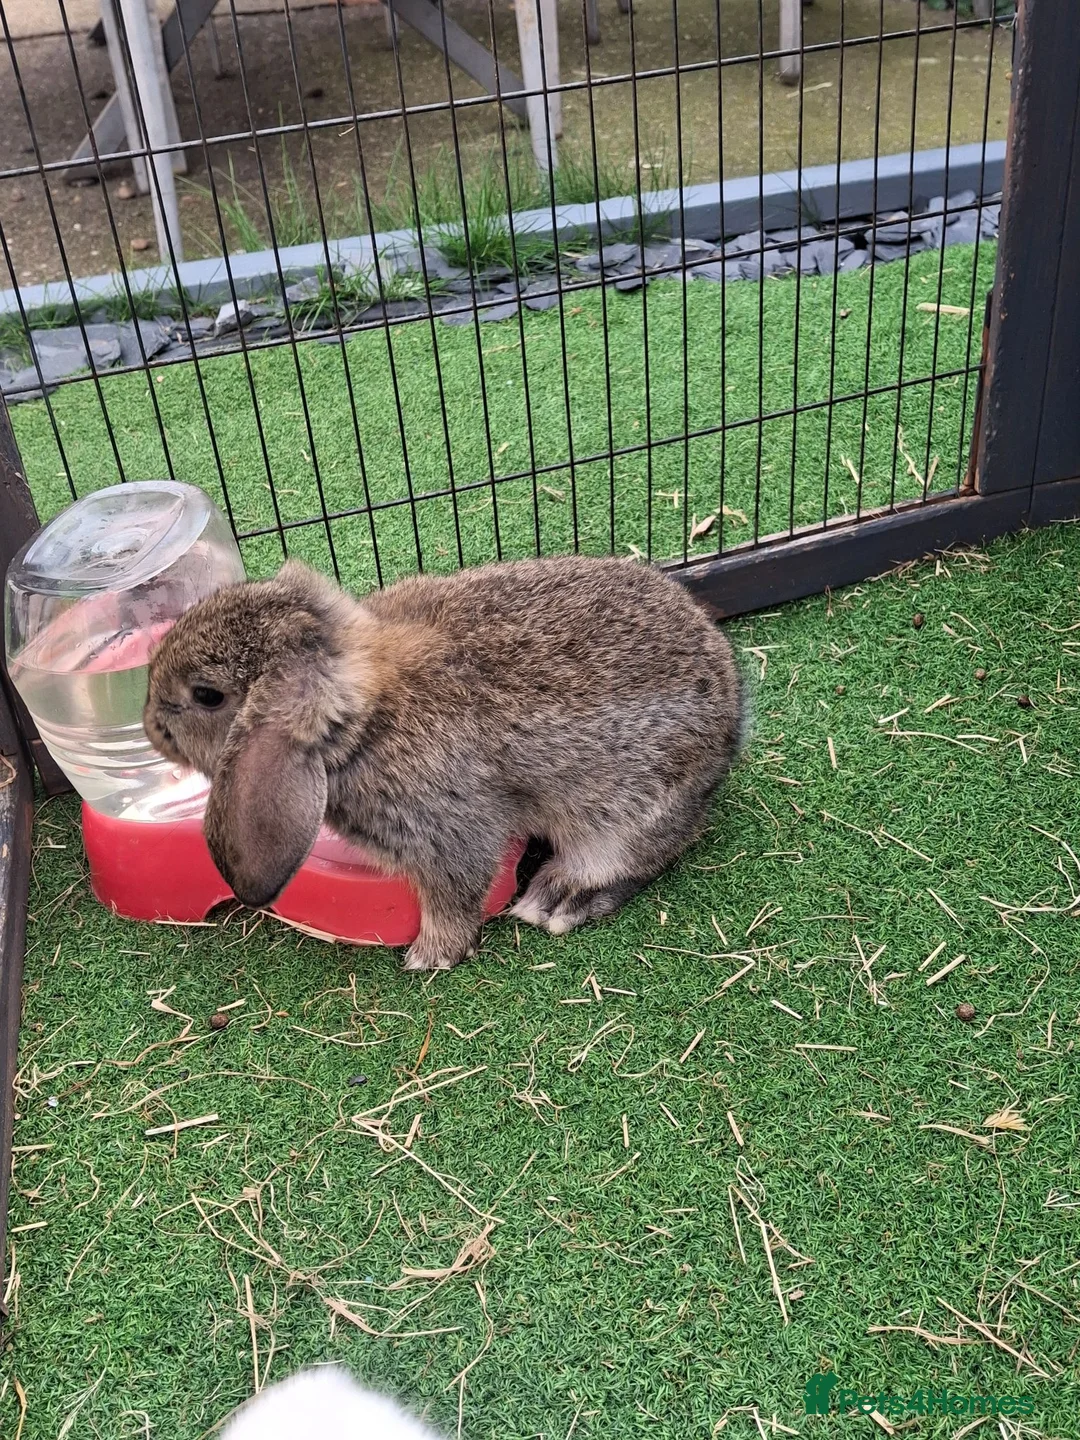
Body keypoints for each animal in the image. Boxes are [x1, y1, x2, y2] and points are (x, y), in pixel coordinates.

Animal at [144, 554, 744, 972]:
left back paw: (556, 899)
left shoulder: (448, 832)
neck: (367, 720)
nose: (150, 726)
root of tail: (733, 723)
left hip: (629, 814)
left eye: (207, 696)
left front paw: (431, 955)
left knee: (634, 859)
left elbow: (456, 893)